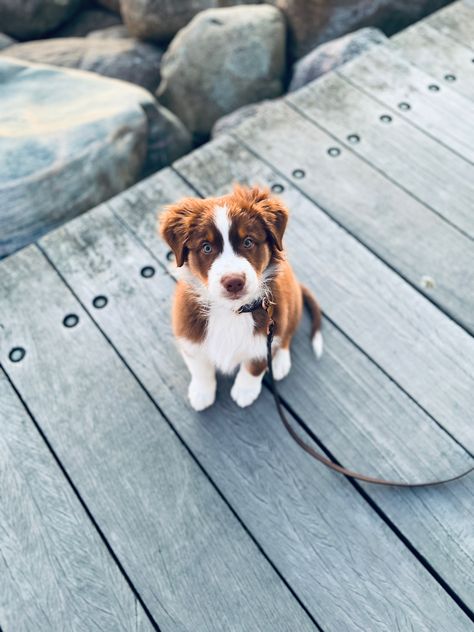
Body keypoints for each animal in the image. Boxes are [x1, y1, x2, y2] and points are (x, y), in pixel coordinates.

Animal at [159, 184, 322, 410]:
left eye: (248, 242)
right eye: (206, 247)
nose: (234, 282)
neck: (231, 311)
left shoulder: (267, 333)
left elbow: (255, 365)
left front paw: (245, 391)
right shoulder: (188, 333)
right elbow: (199, 366)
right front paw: (201, 392)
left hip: (291, 305)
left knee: (287, 334)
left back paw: (280, 362)